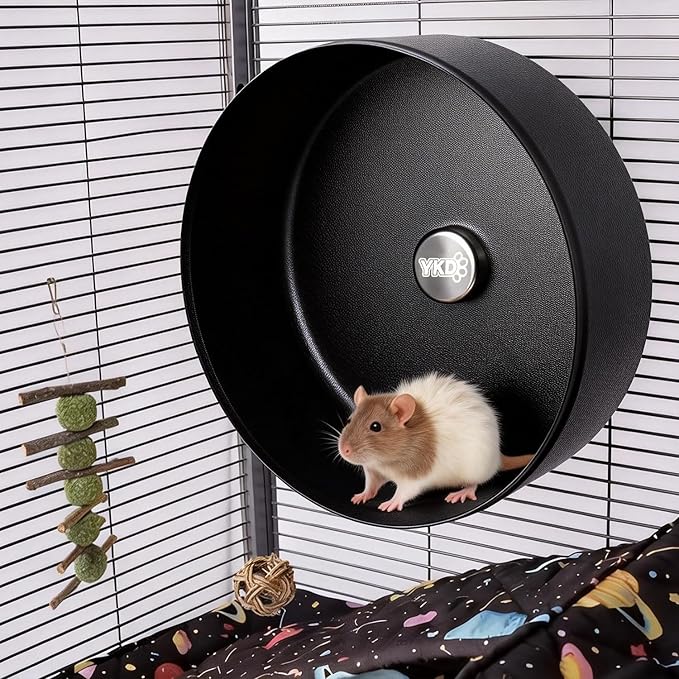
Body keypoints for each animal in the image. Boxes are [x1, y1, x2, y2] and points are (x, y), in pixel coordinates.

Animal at [337, 372, 533, 512]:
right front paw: (363, 494)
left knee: (475, 482)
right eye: (349, 420)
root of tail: (498, 457)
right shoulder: (373, 469)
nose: (344, 450)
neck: (384, 462)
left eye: (375, 426)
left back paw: (464, 491)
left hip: (476, 468)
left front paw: (393, 501)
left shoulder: (416, 471)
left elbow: (407, 490)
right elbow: (372, 483)